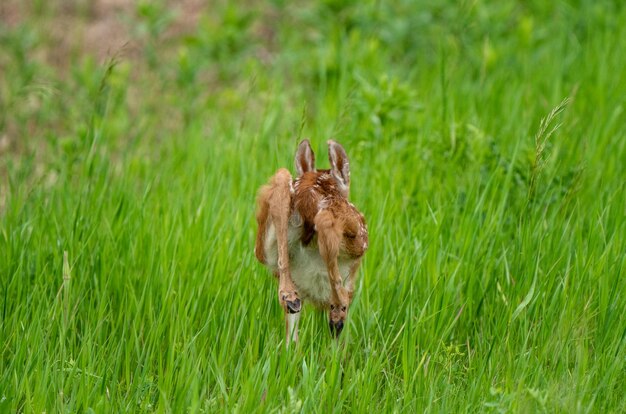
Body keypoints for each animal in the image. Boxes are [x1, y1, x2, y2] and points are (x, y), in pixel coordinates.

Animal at [252, 141, 366, 344]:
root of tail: (308, 189)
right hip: (355, 232)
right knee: (325, 222)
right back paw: (337, 312)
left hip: (263, 245)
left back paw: (289, 297)